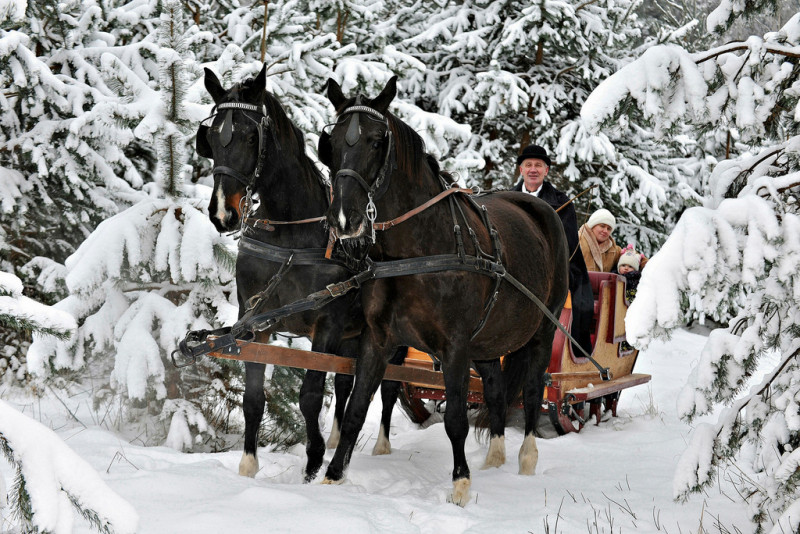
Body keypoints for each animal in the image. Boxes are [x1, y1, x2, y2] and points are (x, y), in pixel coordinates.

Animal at [195, 65, 406, 484]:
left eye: (250, 136)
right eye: (210, 138)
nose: (223, 213)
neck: (290, 236)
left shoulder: (327, 322)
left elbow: (309, 395)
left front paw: (313, 460)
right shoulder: (253, 319)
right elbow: (253, 397)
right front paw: (248, 465)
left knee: (389, 385)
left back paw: (380, 446)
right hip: (353, 335)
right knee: (346, 380)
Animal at [318, 76, 568, 506]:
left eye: (376, 141)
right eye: (330, 143)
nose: (344, 220)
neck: (415, 251)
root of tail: (537, 207)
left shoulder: (454, 346)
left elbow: (454, 420)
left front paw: (461, 485)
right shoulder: (379, 340)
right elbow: (355, 410)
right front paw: (333, 477)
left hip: (542, 330)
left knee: (534, 390)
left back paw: (526, 459)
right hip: (488, 340)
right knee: (496, 389)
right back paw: (496, 456)